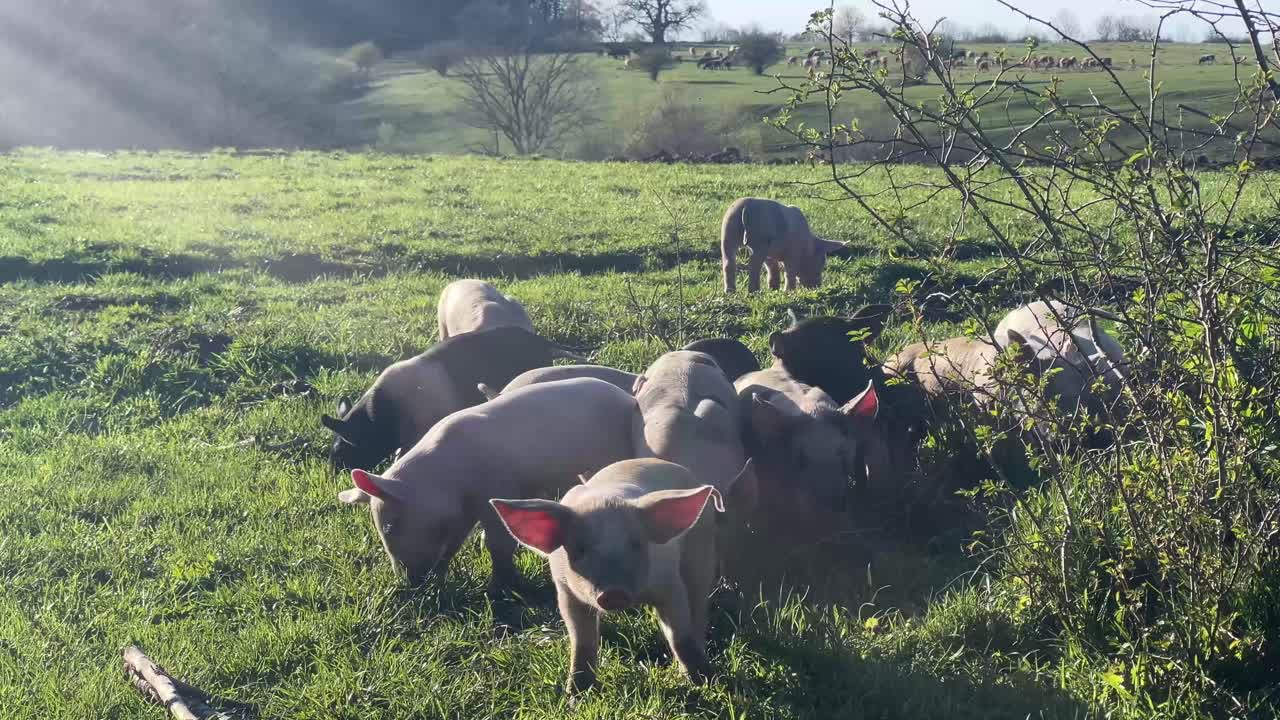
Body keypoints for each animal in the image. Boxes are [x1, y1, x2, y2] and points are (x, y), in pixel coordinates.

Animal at [337, 378, 648, 591]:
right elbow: (453, 544)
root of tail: (627, 400)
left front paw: (500, 588)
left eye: (390, 526)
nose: (409, 583)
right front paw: (440, 576)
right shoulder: (462, 515)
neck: (448, 478)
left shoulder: (497, 490)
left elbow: (498, 544)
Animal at [490, 458, 744, 694]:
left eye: (636, 544)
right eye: (580, 549)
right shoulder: (565, 592)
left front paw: (707, 682)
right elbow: (582, 643)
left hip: (701, 555)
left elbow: (680, 636)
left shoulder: (669, 584)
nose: (613, 593)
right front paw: (575, 697)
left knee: (698, 610)